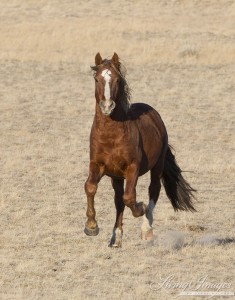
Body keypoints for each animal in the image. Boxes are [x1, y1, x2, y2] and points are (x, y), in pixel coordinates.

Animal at [83, 52, 196, 247]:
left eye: (117, 79)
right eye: (96, 79)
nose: (107, 106)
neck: (111, 135)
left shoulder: (132, 168)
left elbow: (131, 197)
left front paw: (140, 208)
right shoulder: (97, 165)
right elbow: (90, 187)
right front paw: (91, 226)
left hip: (156, 167)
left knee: (153, 190)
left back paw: (147, 229)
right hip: (116, 177)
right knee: (118, 201)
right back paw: (116, 238)